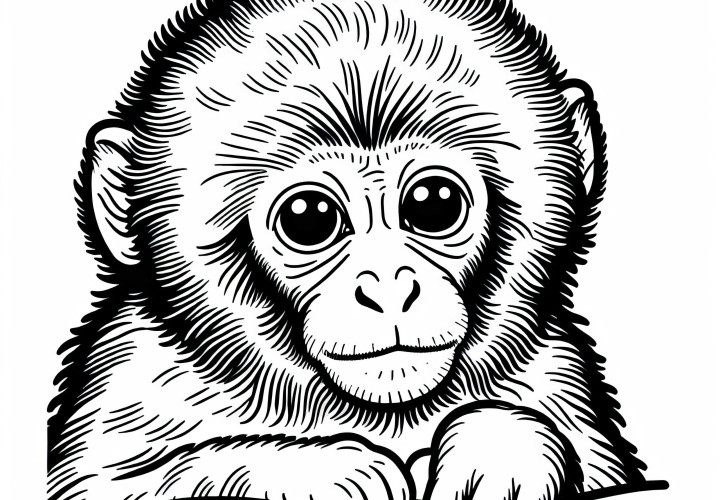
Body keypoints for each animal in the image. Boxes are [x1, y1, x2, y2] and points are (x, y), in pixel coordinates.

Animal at [47, 1, 659, 499]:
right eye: (309, 219)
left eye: (434, 204)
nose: (389, 287)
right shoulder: (130, 377)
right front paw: (319, 472)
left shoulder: (557, 373)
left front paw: (499, 451)